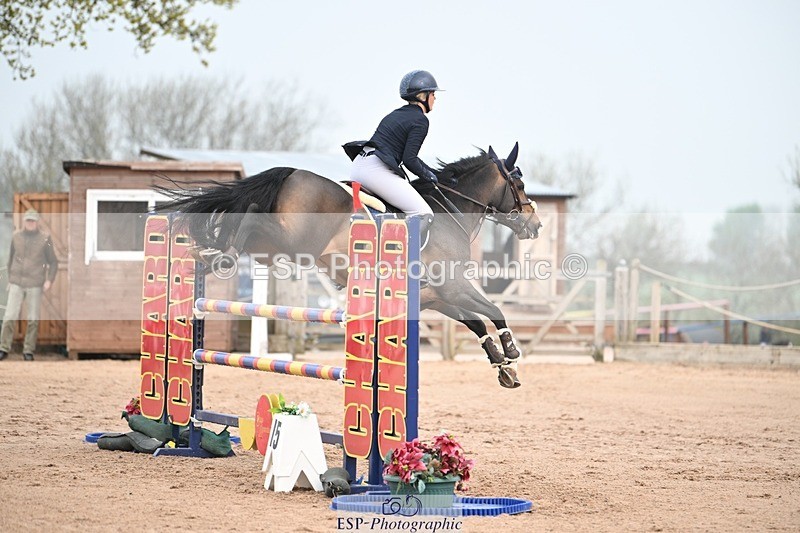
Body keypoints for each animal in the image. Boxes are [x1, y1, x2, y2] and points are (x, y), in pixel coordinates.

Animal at [158, 143, 542, 388]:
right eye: (519, 183)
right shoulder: (453, 287)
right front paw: (511, 351)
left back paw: (209, 254)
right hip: (295, 241)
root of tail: (291, 172)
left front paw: (504, 367)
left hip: (273, 248)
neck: (452, 211)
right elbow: (493, 311)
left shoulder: (437, 298)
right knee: (250, 214)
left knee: (245, 225)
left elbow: (475, 323)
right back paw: (216, 256)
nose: (535, 225)